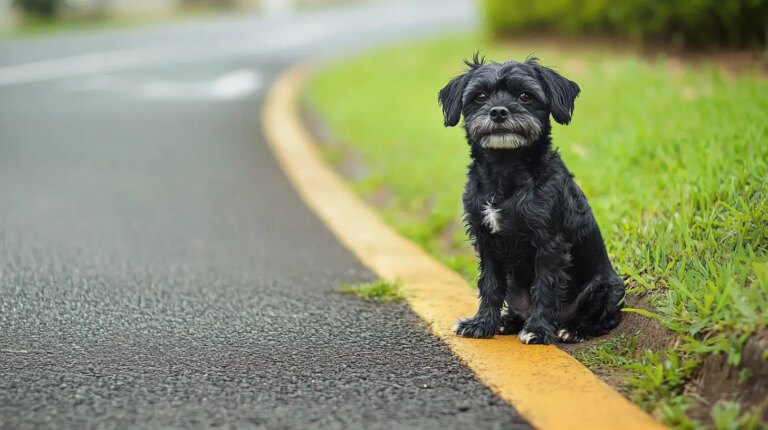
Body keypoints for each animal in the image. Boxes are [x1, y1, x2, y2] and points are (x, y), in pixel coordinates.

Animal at [438, 53, 624, 344]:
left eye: (526, 96)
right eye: (480, 97)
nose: (499, 111)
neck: (505, 171)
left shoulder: (549, 243)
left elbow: (545, 287)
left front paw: (537, 329)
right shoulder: (486, 240)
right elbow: (489, 286)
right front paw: (482, 323)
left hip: (606, 288)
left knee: (605, 319)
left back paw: (573, 329)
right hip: (514, 285)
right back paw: (507, 322)